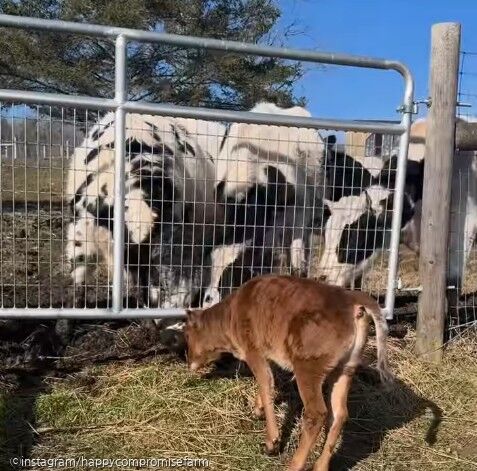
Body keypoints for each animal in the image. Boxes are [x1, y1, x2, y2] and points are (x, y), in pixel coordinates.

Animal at [183, 274, 390, 471]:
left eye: (187, 335)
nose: (188, 361)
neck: (231, 314)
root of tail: (351, 299)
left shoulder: (253, 350)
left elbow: (266, 384)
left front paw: (271, 442)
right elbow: (265, 381)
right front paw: (257, 410)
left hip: (308, 367)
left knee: (317, 413)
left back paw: (294, 464)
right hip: (346, 368)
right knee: (339, 414)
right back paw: (320, 466)